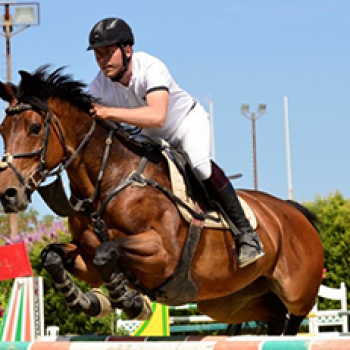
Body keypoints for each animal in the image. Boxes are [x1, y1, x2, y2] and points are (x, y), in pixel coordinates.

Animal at [0, 66, 324, 336]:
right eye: (3, 130)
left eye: (34, 128)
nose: (8, 194)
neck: (109, 181)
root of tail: (293, 212)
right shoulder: (87, 255)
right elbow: (52, 256)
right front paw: (88, 301)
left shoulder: (163, 253)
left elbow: (108, 251)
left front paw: (130, 301)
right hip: (229, 300)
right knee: (273, 316)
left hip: (297, 291)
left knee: (294, 317)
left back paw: (249, 245)